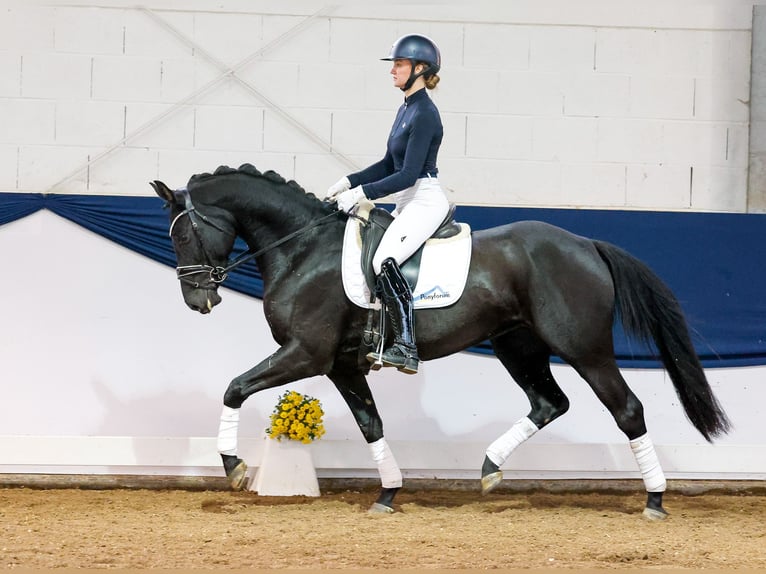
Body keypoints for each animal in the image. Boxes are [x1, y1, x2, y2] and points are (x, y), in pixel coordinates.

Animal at [152, 164, 732, 520]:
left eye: (181, 233)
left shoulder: (306, 353)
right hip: (517, 346)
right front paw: (388, 493)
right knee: (549, 402)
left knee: (626, 409)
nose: (197, 300)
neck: (304, 249)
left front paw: (233, 467)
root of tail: (586, 243)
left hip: (584, 349)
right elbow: (371, 424)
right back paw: (490, 470)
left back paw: (655, 500)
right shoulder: (342, 365)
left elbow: (234, 387)